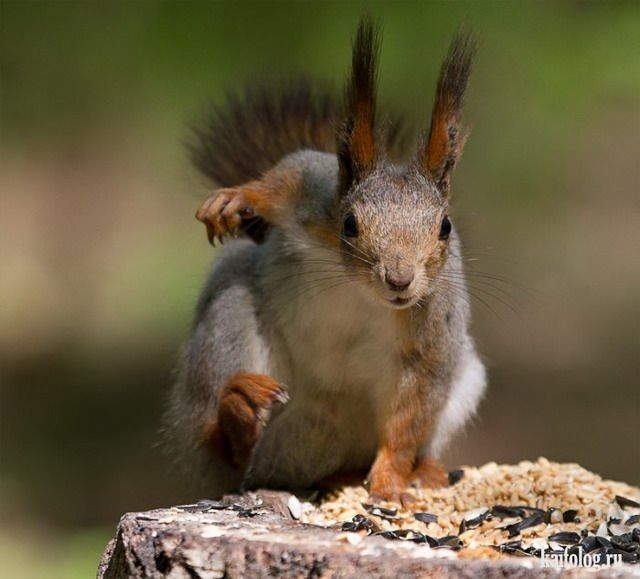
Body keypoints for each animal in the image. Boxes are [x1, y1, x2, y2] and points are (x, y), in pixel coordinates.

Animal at [165, 18, 484, 506]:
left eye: (445, 226)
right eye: (350, 224)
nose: (400, 279)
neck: (360, 290)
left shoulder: (432, 327)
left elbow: (408, 420)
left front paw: (391, 482)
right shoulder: (312, 197)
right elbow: (286, 175)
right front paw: (236, 198)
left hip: (464, 383)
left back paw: (419, 472)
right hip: (225, 331)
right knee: (218, 441)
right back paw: (238, 411)